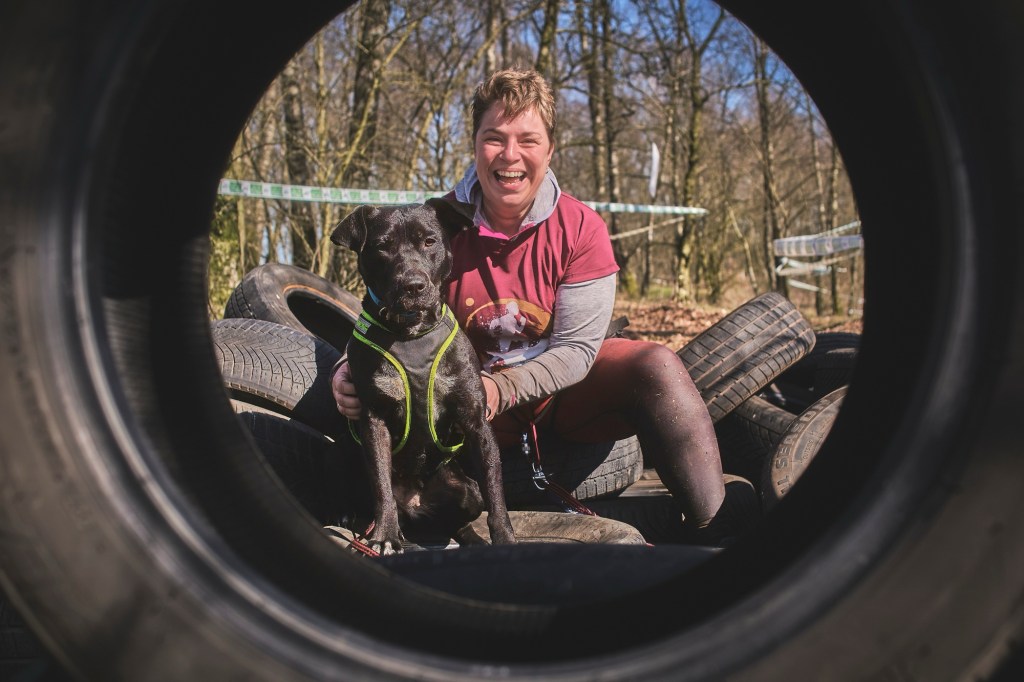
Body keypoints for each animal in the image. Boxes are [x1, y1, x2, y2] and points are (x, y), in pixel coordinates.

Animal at [330, 198, 516, 555]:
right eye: (383, 246)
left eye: (429, 241)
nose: (412, 285)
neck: (411, 334)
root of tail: (414, 505)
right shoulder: (374, 420)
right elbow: (382, 488)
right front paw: (385, 536)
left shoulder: (475, 420)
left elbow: (496, 492)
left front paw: (505, 540)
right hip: (347, 452)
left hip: (465, 490)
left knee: (458, 523)